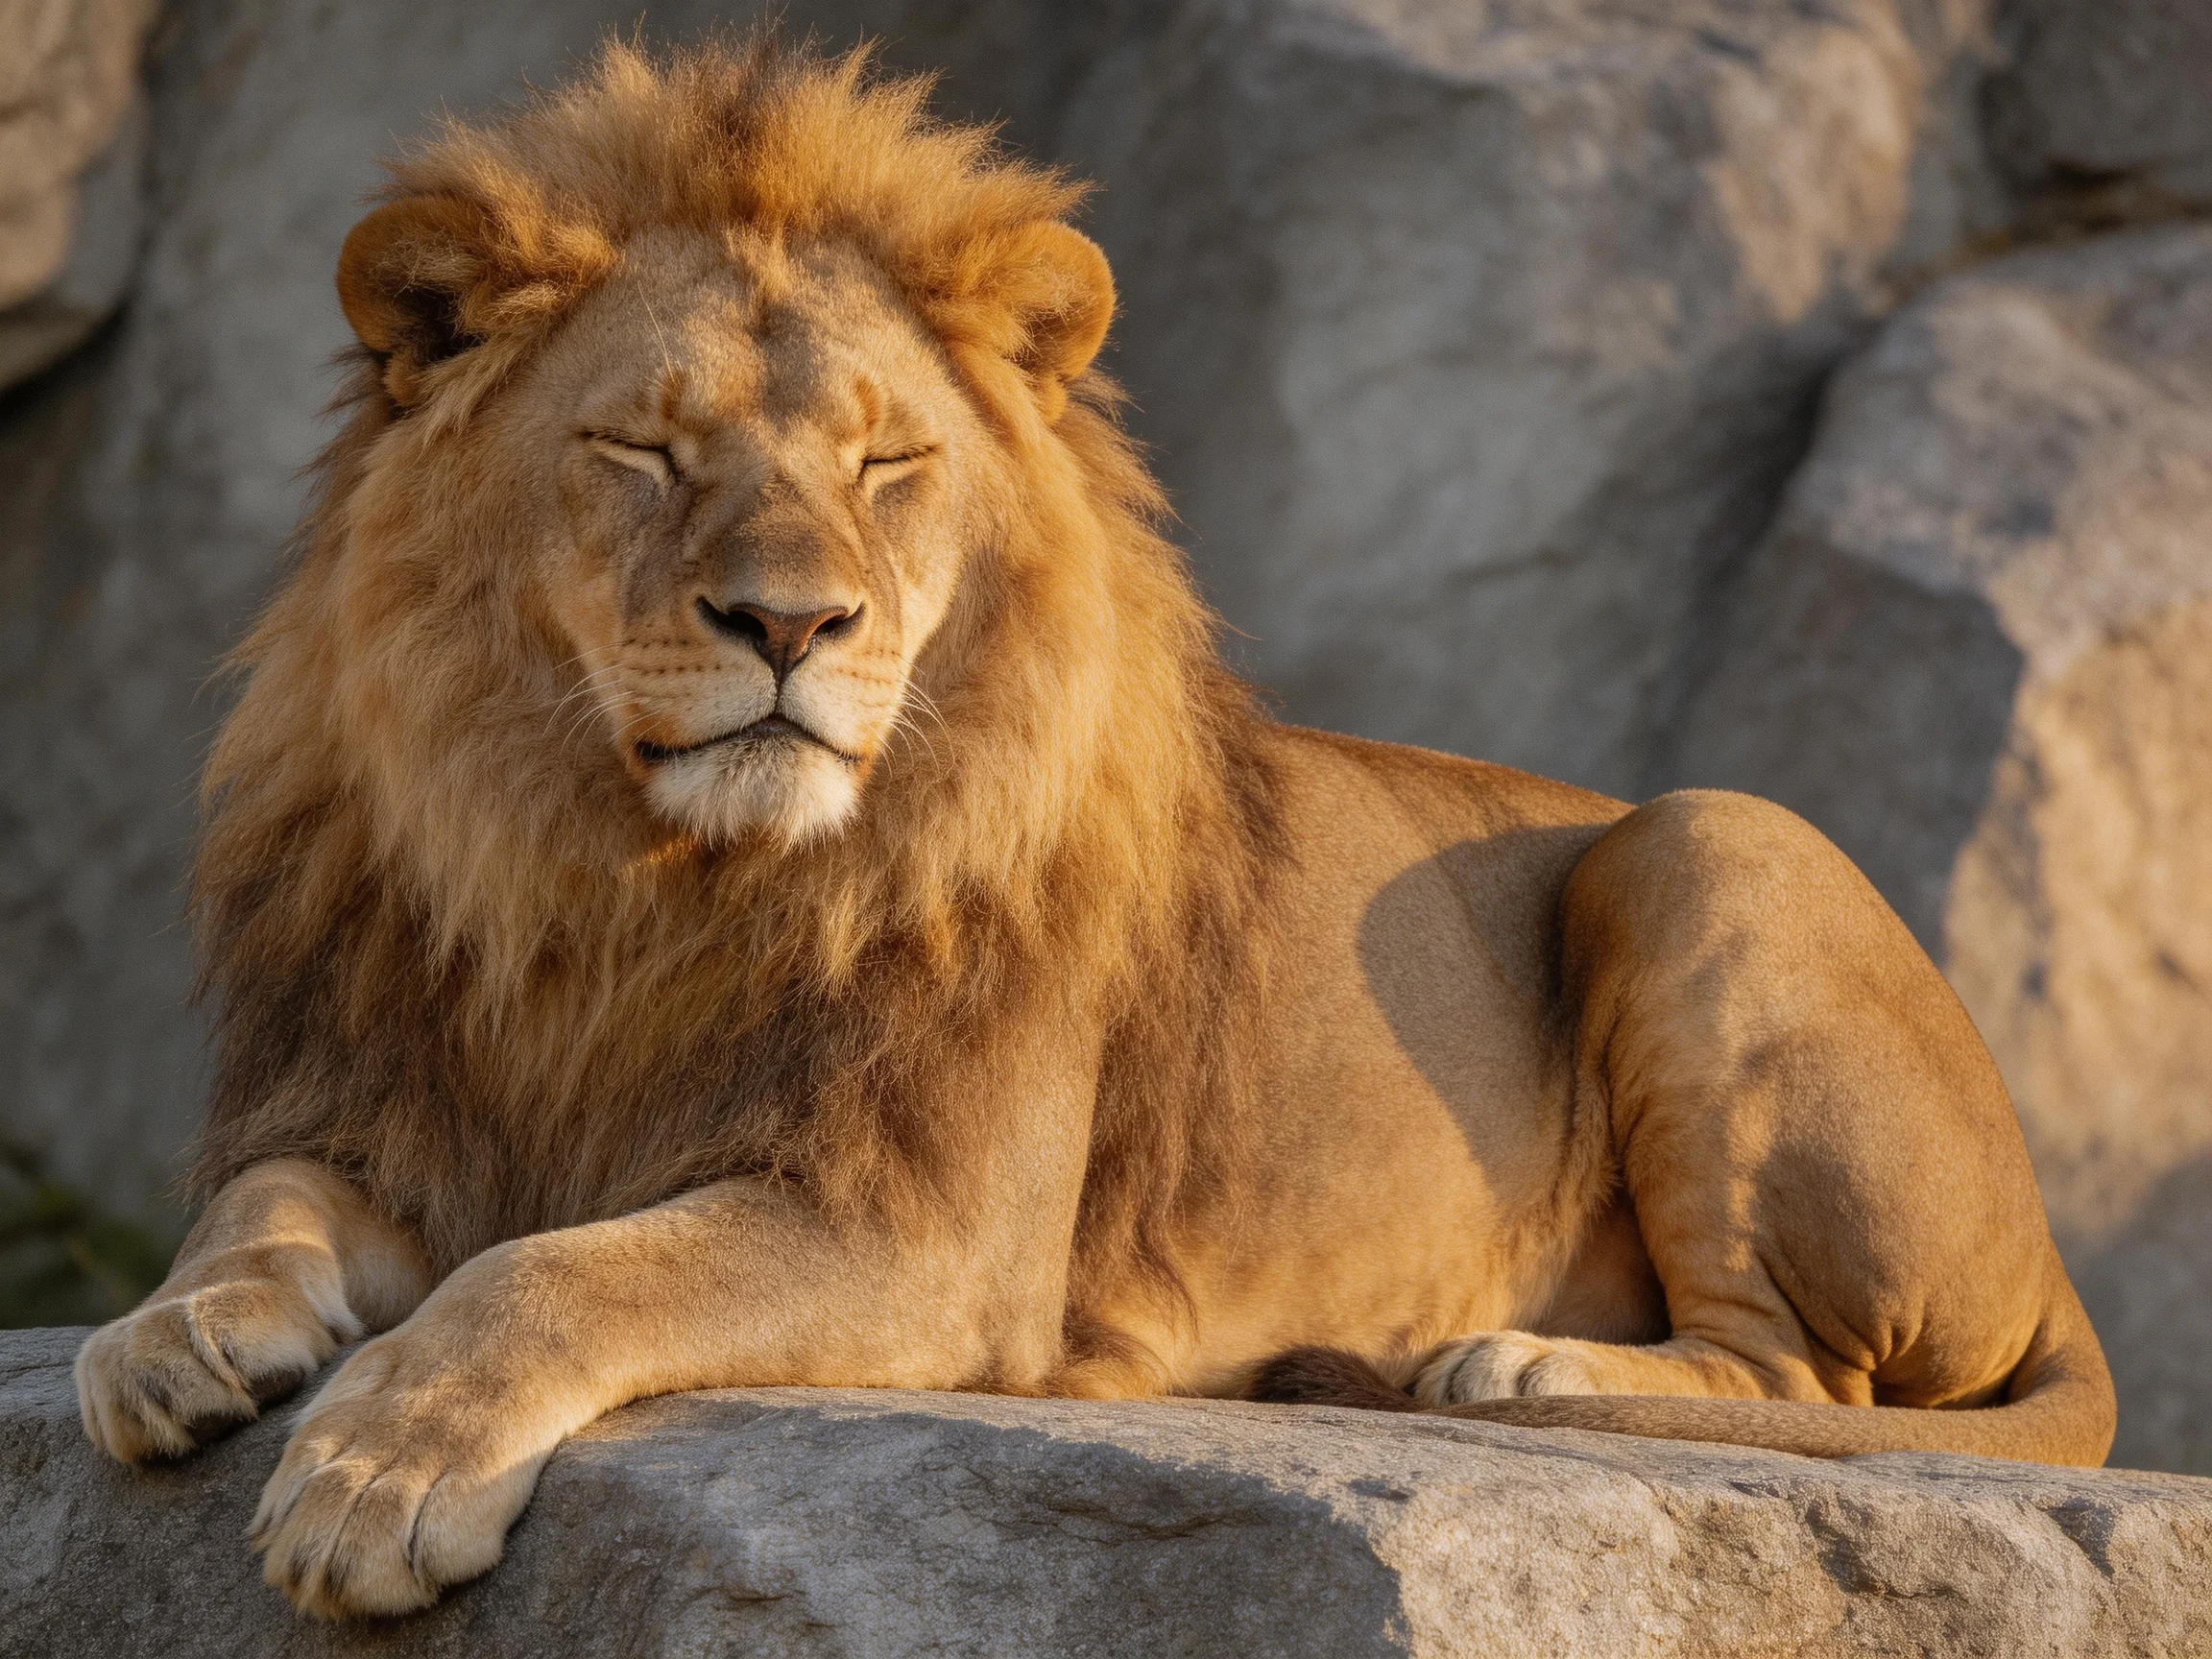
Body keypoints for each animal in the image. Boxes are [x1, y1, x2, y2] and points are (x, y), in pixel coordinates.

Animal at [74, 37, 2115, 1620]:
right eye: (641, 451)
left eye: (888, 463)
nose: (790, 624)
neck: (630, 870)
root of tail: (2049, 1242)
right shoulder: (396, 1104)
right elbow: (263, 1203)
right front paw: (167, 1336)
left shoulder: (926, 1220)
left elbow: (562, 1269)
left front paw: (377, 1472)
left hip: (1699, 834)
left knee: (1801, 1374)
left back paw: (1515, 1362)